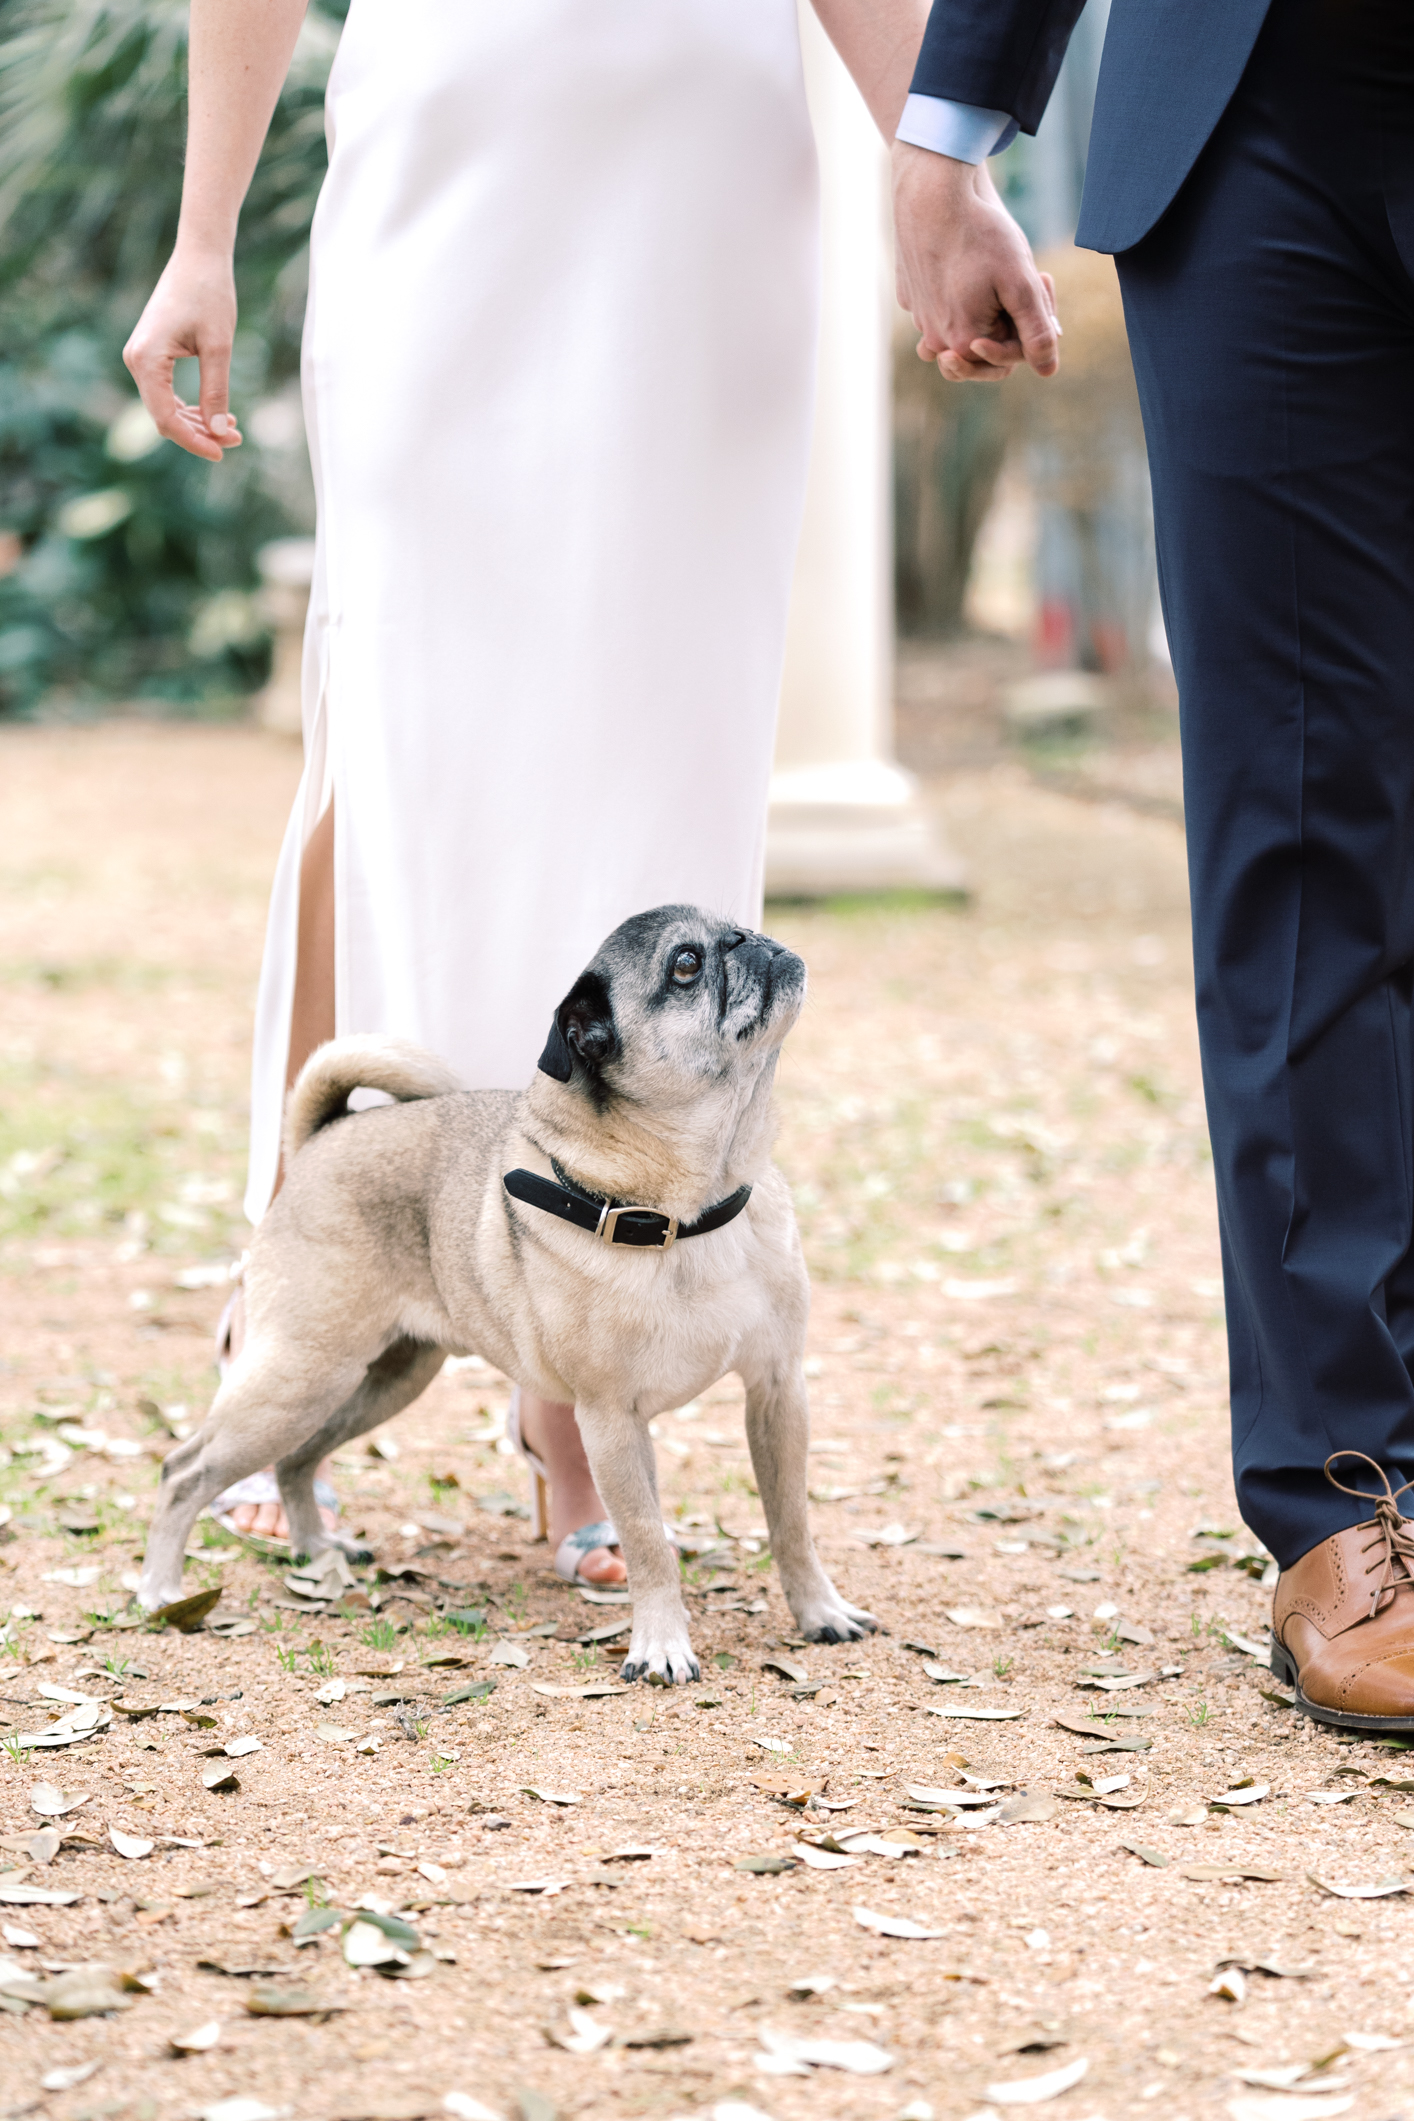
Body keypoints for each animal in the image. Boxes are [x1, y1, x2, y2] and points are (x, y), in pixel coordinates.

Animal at [140, 903, 873, 1679]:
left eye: (734, 926)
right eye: (685, 965)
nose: (749, 939)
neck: (691, 1208)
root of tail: (323, 1137)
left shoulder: (777, 1389)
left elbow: (791, 1521)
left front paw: (819, 1611)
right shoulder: (612, 1420)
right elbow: (648, 1541)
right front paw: (662, 1644)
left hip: (386, 1378)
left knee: (297, 1459)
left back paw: (317, 1551)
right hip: (303, 1374)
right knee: (185, 1469)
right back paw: (162, 1590)